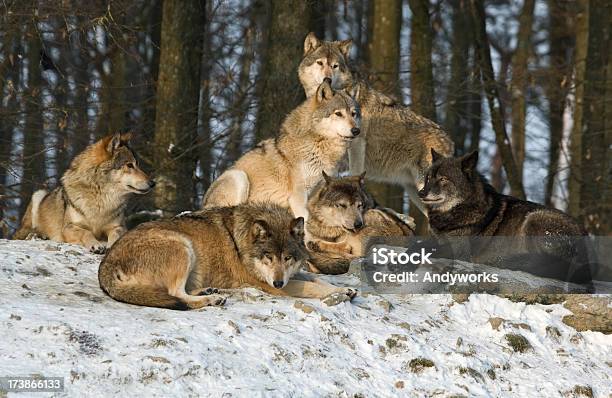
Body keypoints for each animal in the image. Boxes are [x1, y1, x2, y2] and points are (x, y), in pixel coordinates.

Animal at [13, 134, 154, 252]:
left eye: (138, 164)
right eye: (129, 165)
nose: (153, 183)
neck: (101, 198)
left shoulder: (118, 226)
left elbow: (116, 234)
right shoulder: (69, 227)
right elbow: (86, 232)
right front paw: (96, 244)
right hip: (38, 194)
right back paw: (37, 235)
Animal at [99, 202, 358, 310]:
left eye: (287, 258)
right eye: (268, 256)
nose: (277, 282)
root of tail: (106, 264)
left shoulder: (290, 276)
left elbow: (316, 279)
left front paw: (346, 289)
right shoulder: (273, 285)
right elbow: (313, 287)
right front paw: (339, 292)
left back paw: (208, 291)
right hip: (182, 245)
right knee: (175, 294)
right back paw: (211, 299)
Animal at [203, 79, 360, 222]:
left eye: (353, 114)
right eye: (338, 114)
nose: (356, 130)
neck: (318, 145)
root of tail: (203, 205)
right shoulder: (298, 197)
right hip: (239, 176)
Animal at [296, 33, 454, 215]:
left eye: (335, 66)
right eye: (320, 63)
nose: (327, 78)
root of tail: (449, 141)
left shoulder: (357, 142)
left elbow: (355, 172)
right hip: (415, 192)